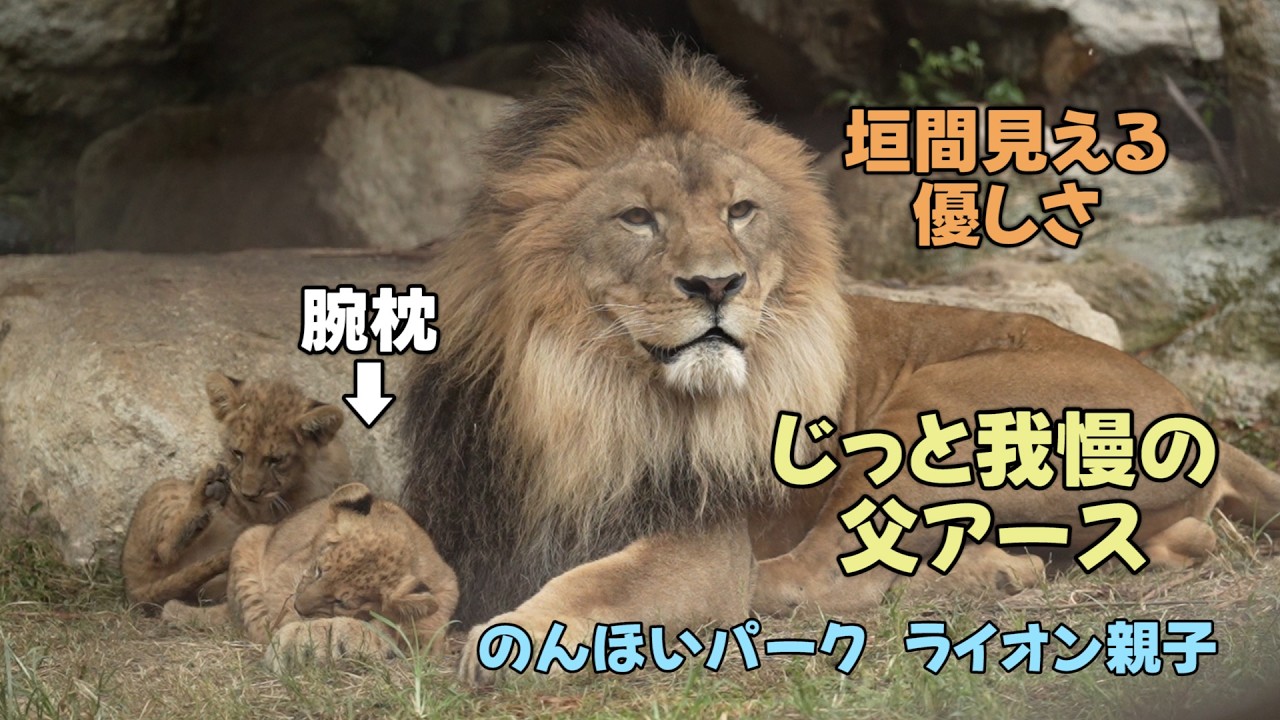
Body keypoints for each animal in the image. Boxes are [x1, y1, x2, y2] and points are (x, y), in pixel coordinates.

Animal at [122, 373, 351, 609]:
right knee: (164, 549)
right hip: (166, 488)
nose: (248, 494)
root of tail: (132, 588)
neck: (306, 478)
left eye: (275, 460)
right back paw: (209, 492)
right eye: (237, 453)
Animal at [161, 483, 459, 672]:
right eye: (318, 570)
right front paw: (298, 634)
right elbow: (280, 609)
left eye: (342, 603)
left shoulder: (437, 612)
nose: (300, 606)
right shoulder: (289, 569)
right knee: (256, 624)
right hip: (250, 539)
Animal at [397, 19, 1280, 685]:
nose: (718, 284)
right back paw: (1007, 568)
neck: (579, 392)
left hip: (939, 409)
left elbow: (610, 579)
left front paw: (515, 637)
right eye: (637, 218)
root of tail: (1202, 416)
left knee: (815, 572)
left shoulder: (702, 540)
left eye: (741, 211)